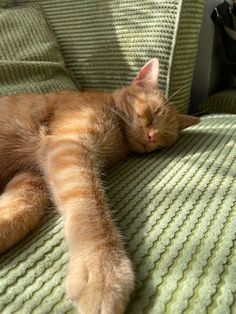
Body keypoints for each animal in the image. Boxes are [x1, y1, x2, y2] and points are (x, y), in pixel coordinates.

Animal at [0, 58, 200, 312]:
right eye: (154, 114)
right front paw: (105, 272)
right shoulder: (70, 147)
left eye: (167, 137)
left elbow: (20, 211)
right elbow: (92, 211)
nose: (153, 136)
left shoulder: (33, 173)